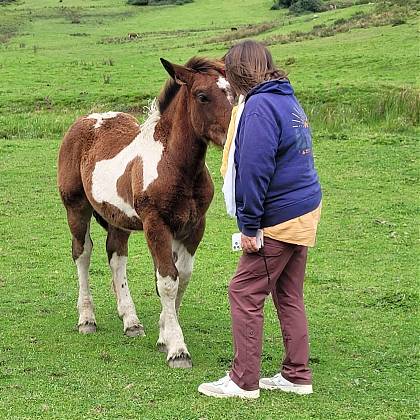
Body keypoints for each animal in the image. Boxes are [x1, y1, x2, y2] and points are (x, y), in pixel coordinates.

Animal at [57, 56, 233, 368]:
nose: (236, 133)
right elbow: (167, 280)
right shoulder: (156, 225)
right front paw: (177, 349)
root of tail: (87, 120)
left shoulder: (193, 227)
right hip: (75, 207)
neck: (176, 165)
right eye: (202, 96)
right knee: (82, 253)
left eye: (233, 91)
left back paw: (131, 321)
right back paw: (87, 319)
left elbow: (180, 275)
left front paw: (164, 335)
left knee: (116, 256)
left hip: (117, 217)